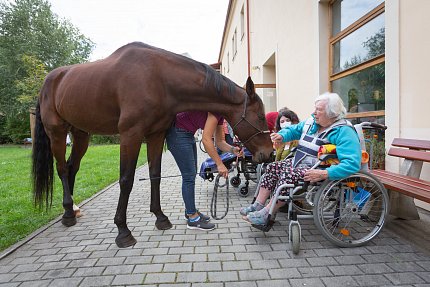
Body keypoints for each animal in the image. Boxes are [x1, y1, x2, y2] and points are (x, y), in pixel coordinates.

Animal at [31, 41, 272, 249]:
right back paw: (68, 214)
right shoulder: (130, 135)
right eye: (260, 116)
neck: (159, 79)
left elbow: (155, 175)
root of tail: (48, 81)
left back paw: (72, 209)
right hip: (57, 133)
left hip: (81, 134)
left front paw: (161, 218)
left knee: (72, 167)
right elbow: (126, 180)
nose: (269, 154)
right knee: (62, 168)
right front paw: (123, 231)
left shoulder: (156, 135)